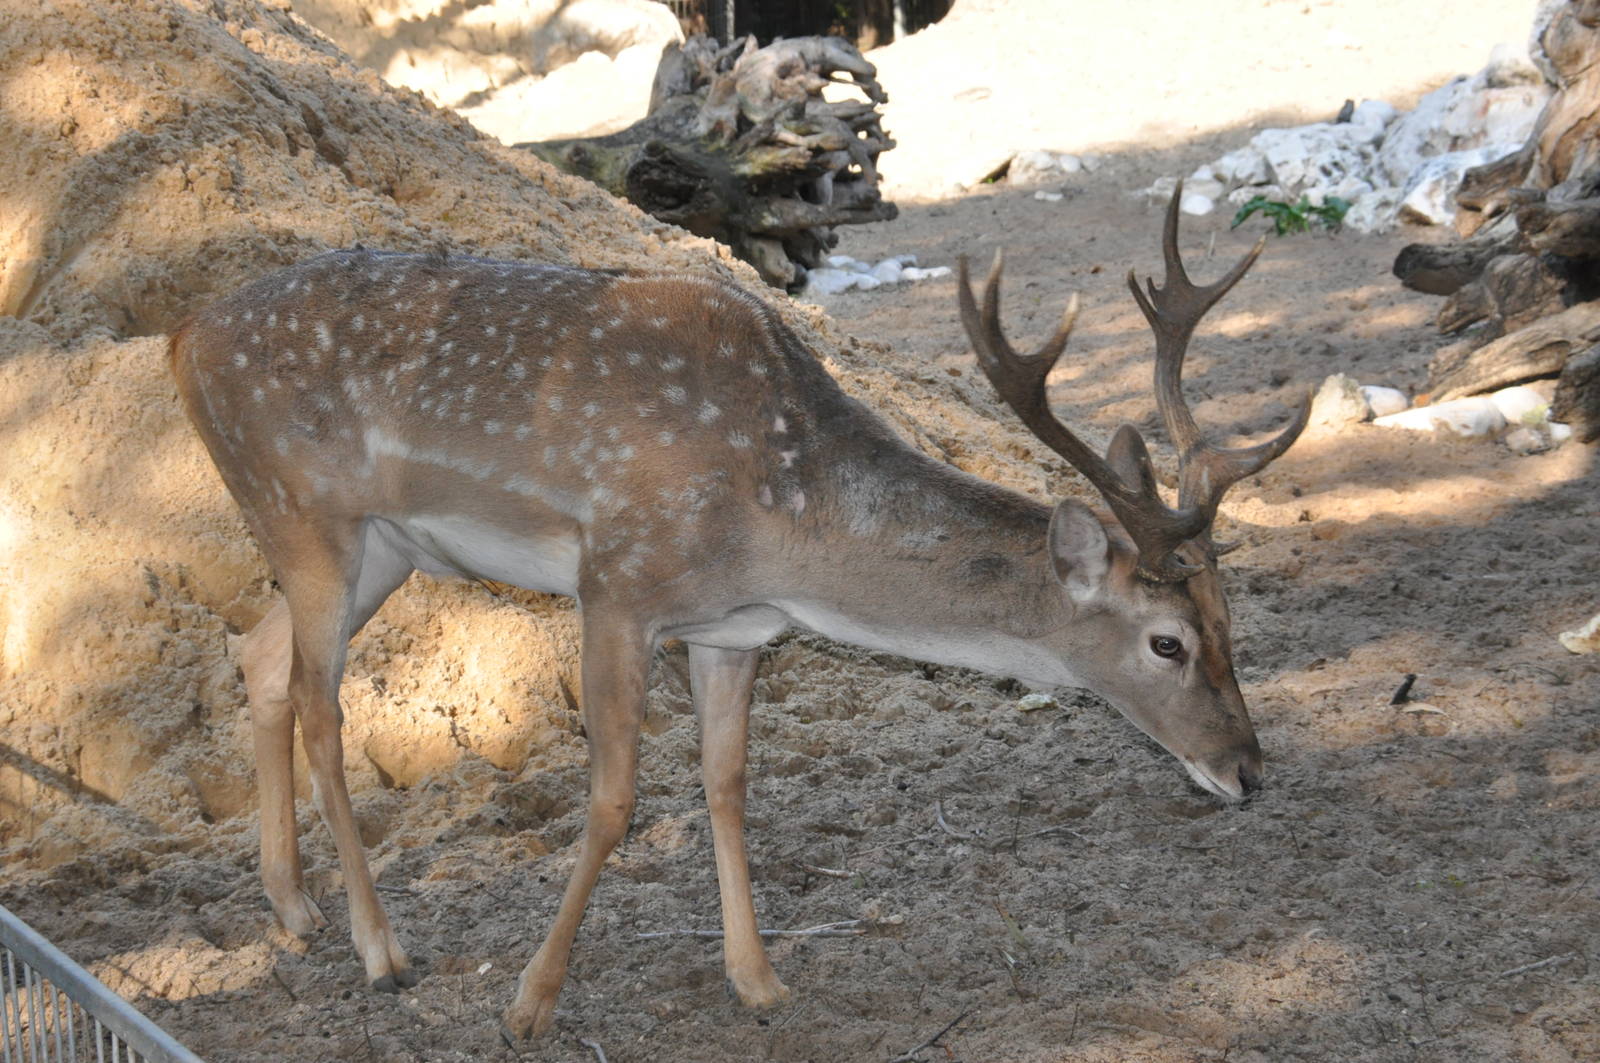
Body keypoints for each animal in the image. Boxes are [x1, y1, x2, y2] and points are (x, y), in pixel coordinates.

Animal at [168, 188, 1307, 1038]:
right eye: (1167, 641)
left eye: (1233, 621)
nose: (1248, 768)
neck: (780, 531)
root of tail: (182, 335)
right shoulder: (618, 582)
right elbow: (616, 799)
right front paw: (529, 1002)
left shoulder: (732, 631)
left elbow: (726, 784)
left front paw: (758, 980)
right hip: (306, 514)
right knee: (319, 700)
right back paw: (382, 950)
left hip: (378, 550)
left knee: (260, 658)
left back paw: (294, 909)